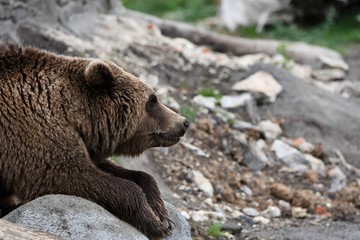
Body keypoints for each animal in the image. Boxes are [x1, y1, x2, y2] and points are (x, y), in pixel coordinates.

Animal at [0, 44, 190, 239]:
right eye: (152, 101)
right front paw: (154, 222)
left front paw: (162, 215)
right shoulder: (32, 128)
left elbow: (132, 173)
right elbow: (68, 173)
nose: (184, 122)